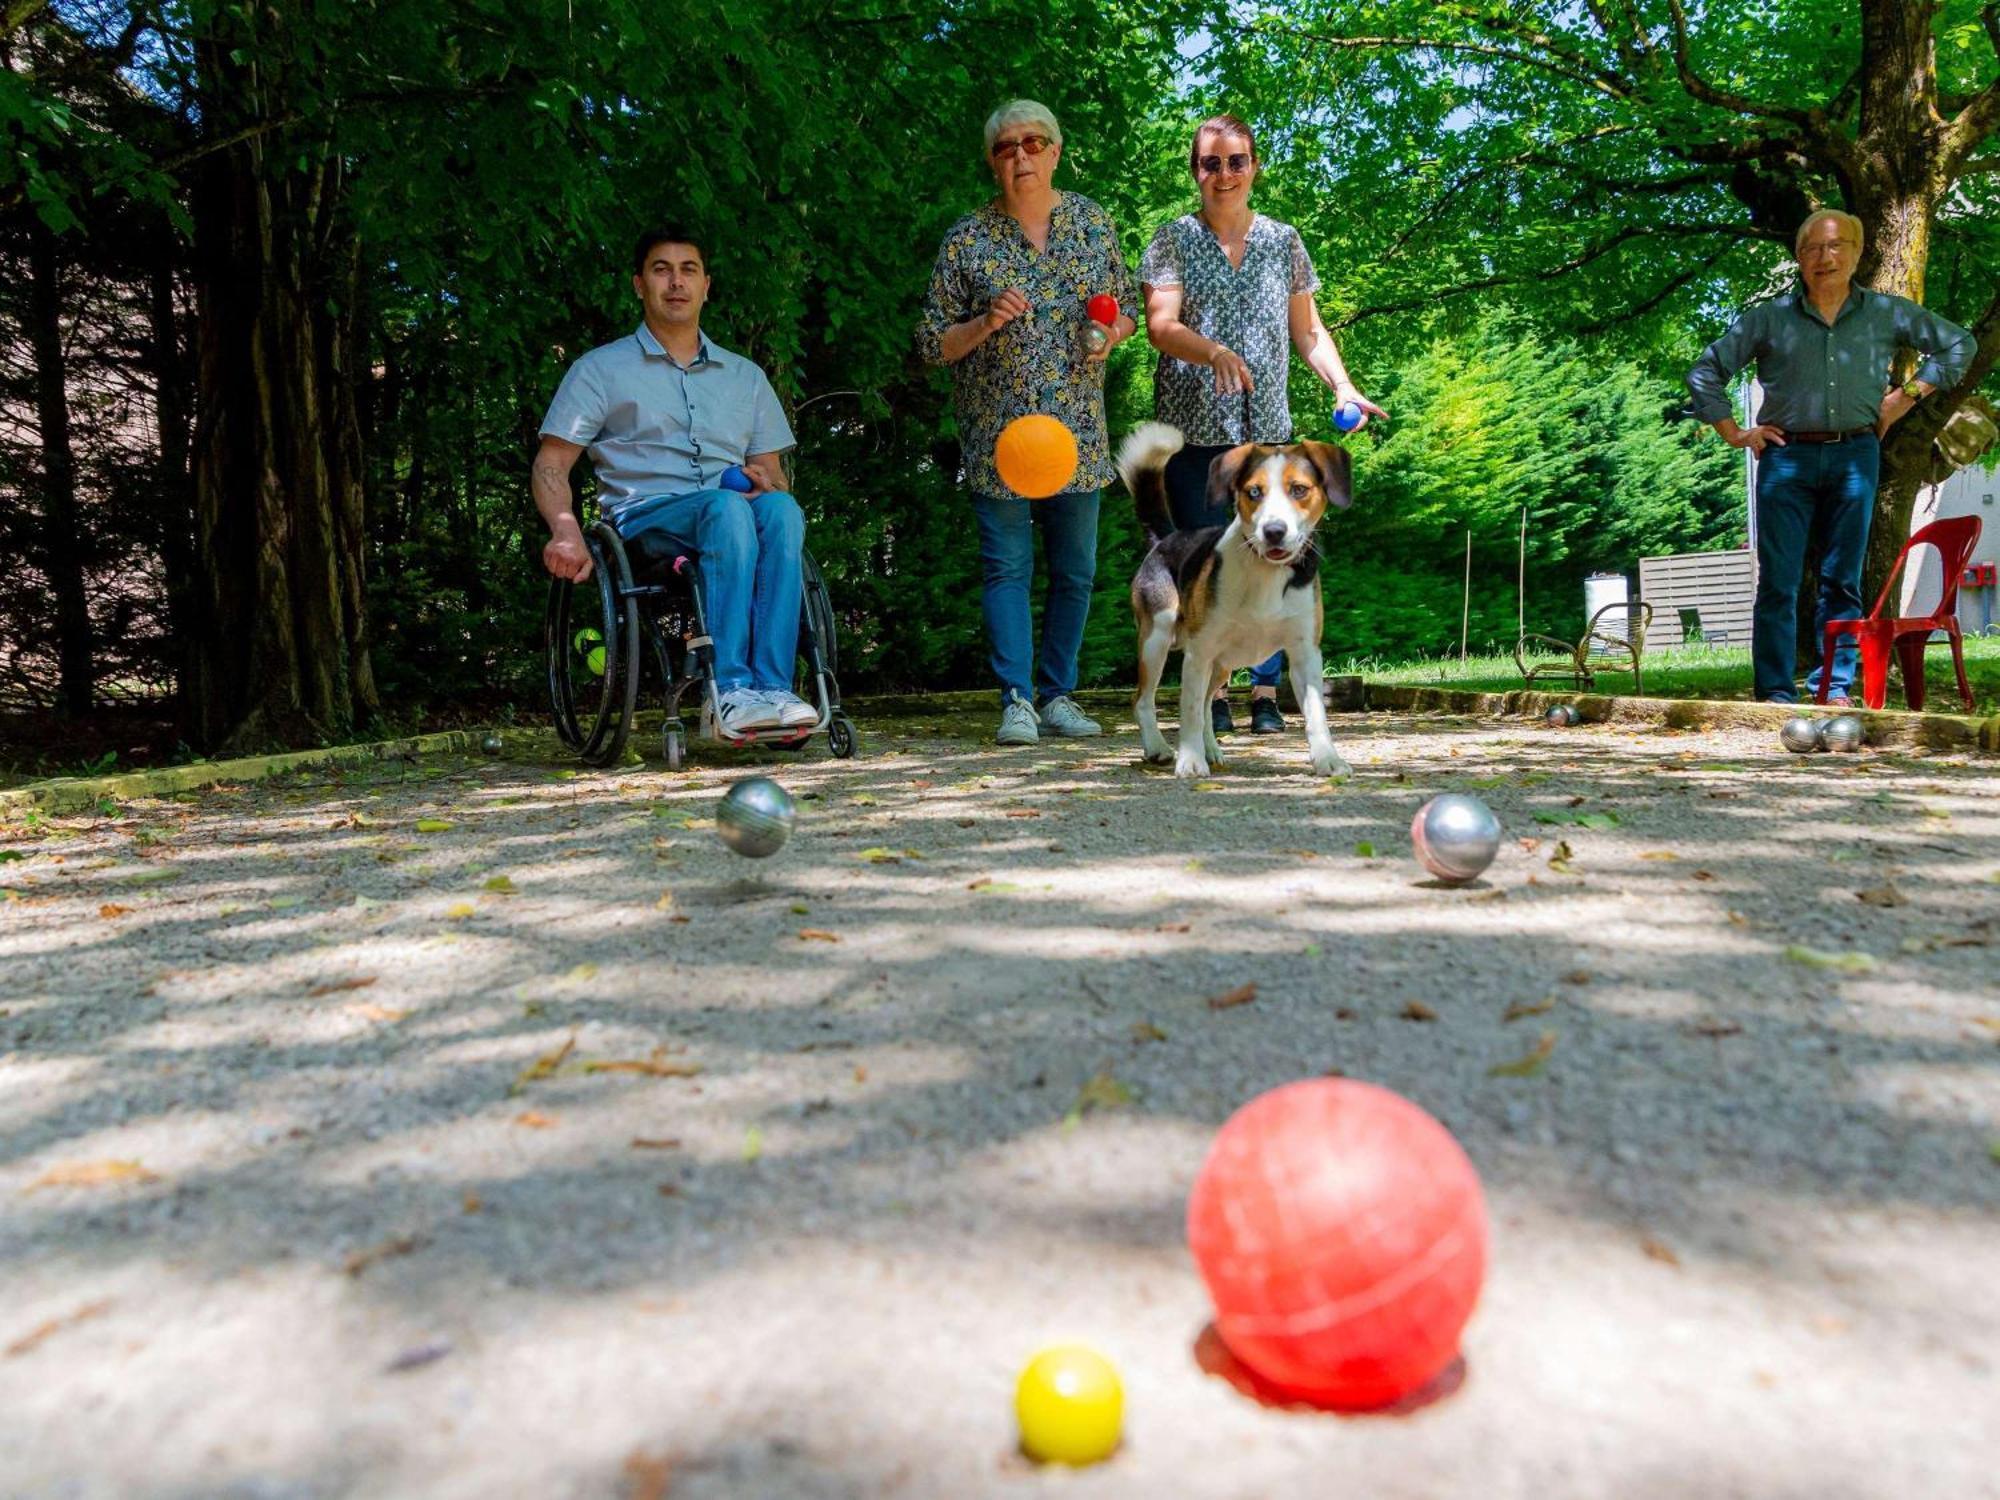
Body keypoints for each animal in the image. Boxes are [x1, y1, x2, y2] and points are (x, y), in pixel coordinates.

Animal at [1120, 420, 1352, 780]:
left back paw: (1210, 749)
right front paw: (1190, 761)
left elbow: (1316, 713)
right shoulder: (1198, 652)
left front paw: (1328, 758)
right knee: (1144, 700)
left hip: (1220, 665)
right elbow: (1188, 710)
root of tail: (1166, 538)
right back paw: (1158, 748)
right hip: (1156, 638)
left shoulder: (1305, 654)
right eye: (1254, 492)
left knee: (1206, 704)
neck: (1266, 571)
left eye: (1299, 490)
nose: (1274, 531)